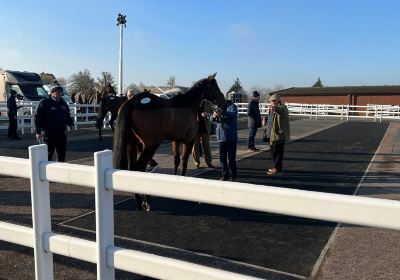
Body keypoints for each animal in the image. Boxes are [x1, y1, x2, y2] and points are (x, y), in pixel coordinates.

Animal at [113, 74, 225, 210]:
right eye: (215, 87)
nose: (224, 102)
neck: (187, 104)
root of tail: (133, 101)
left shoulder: (175, 141)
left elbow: (176, 161)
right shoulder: (189, 141)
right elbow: (184, 163)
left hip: (133, 144)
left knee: (132, 169)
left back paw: (139, 202)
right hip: (150, 145)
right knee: (140, 166)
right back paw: (146, 201)